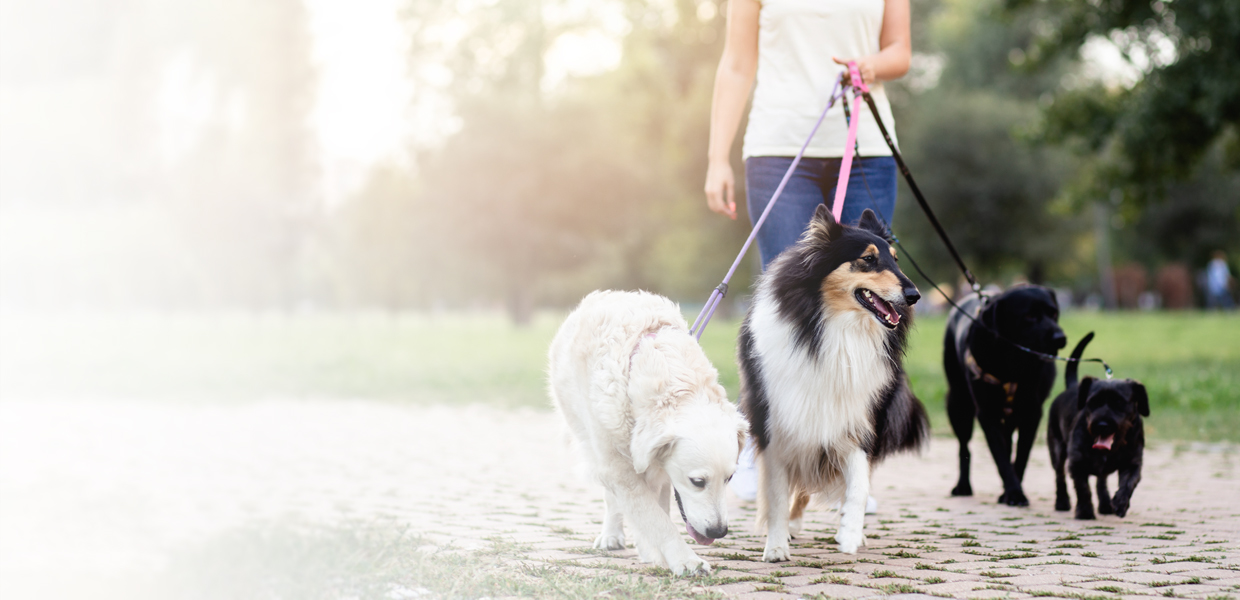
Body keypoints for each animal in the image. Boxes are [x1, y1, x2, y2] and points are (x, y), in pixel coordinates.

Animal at [947, 286, 1066, 505]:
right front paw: (1014, 492)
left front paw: (1011, 491)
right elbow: (1000, 457)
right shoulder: (987, 413)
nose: (1059, 338)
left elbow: (1021, 456)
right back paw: (963, 486)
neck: (1011, 361)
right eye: (1029, 316)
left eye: (1053, 313)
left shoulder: (1031, 413)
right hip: (958, 404)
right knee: (964, 447)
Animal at [1051, 332, 1145, 520]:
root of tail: (1074, 386)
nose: (1101, 424)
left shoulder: (1133, 463)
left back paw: (1105, 504)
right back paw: (1062, 502)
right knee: (1059, 476)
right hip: (1057, 450)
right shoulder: (1077, 463)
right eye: (1093, 402)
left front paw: (1120, 503)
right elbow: (1083, 488)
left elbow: (1128, 484)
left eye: (1119, 403)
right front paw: (1085, 511)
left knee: (1101, 481)